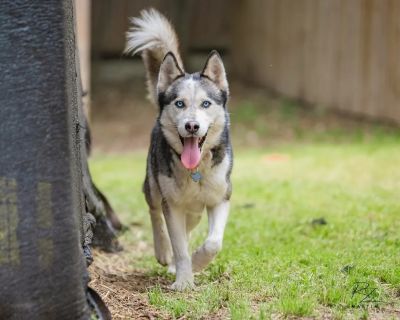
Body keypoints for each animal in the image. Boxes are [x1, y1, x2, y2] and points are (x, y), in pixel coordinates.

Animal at [124, 9, 231, 290]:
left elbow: (213, 243)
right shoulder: (171, 205)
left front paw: (197, 263)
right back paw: (163, 251)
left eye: (206, 104)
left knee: (189, 228)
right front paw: (184, 281)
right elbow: (180, 246)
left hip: (194, 211)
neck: (195, 170)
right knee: (155, 213)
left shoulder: (220, 198)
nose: (192, 126)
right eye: (180, 104)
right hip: (153, 186)